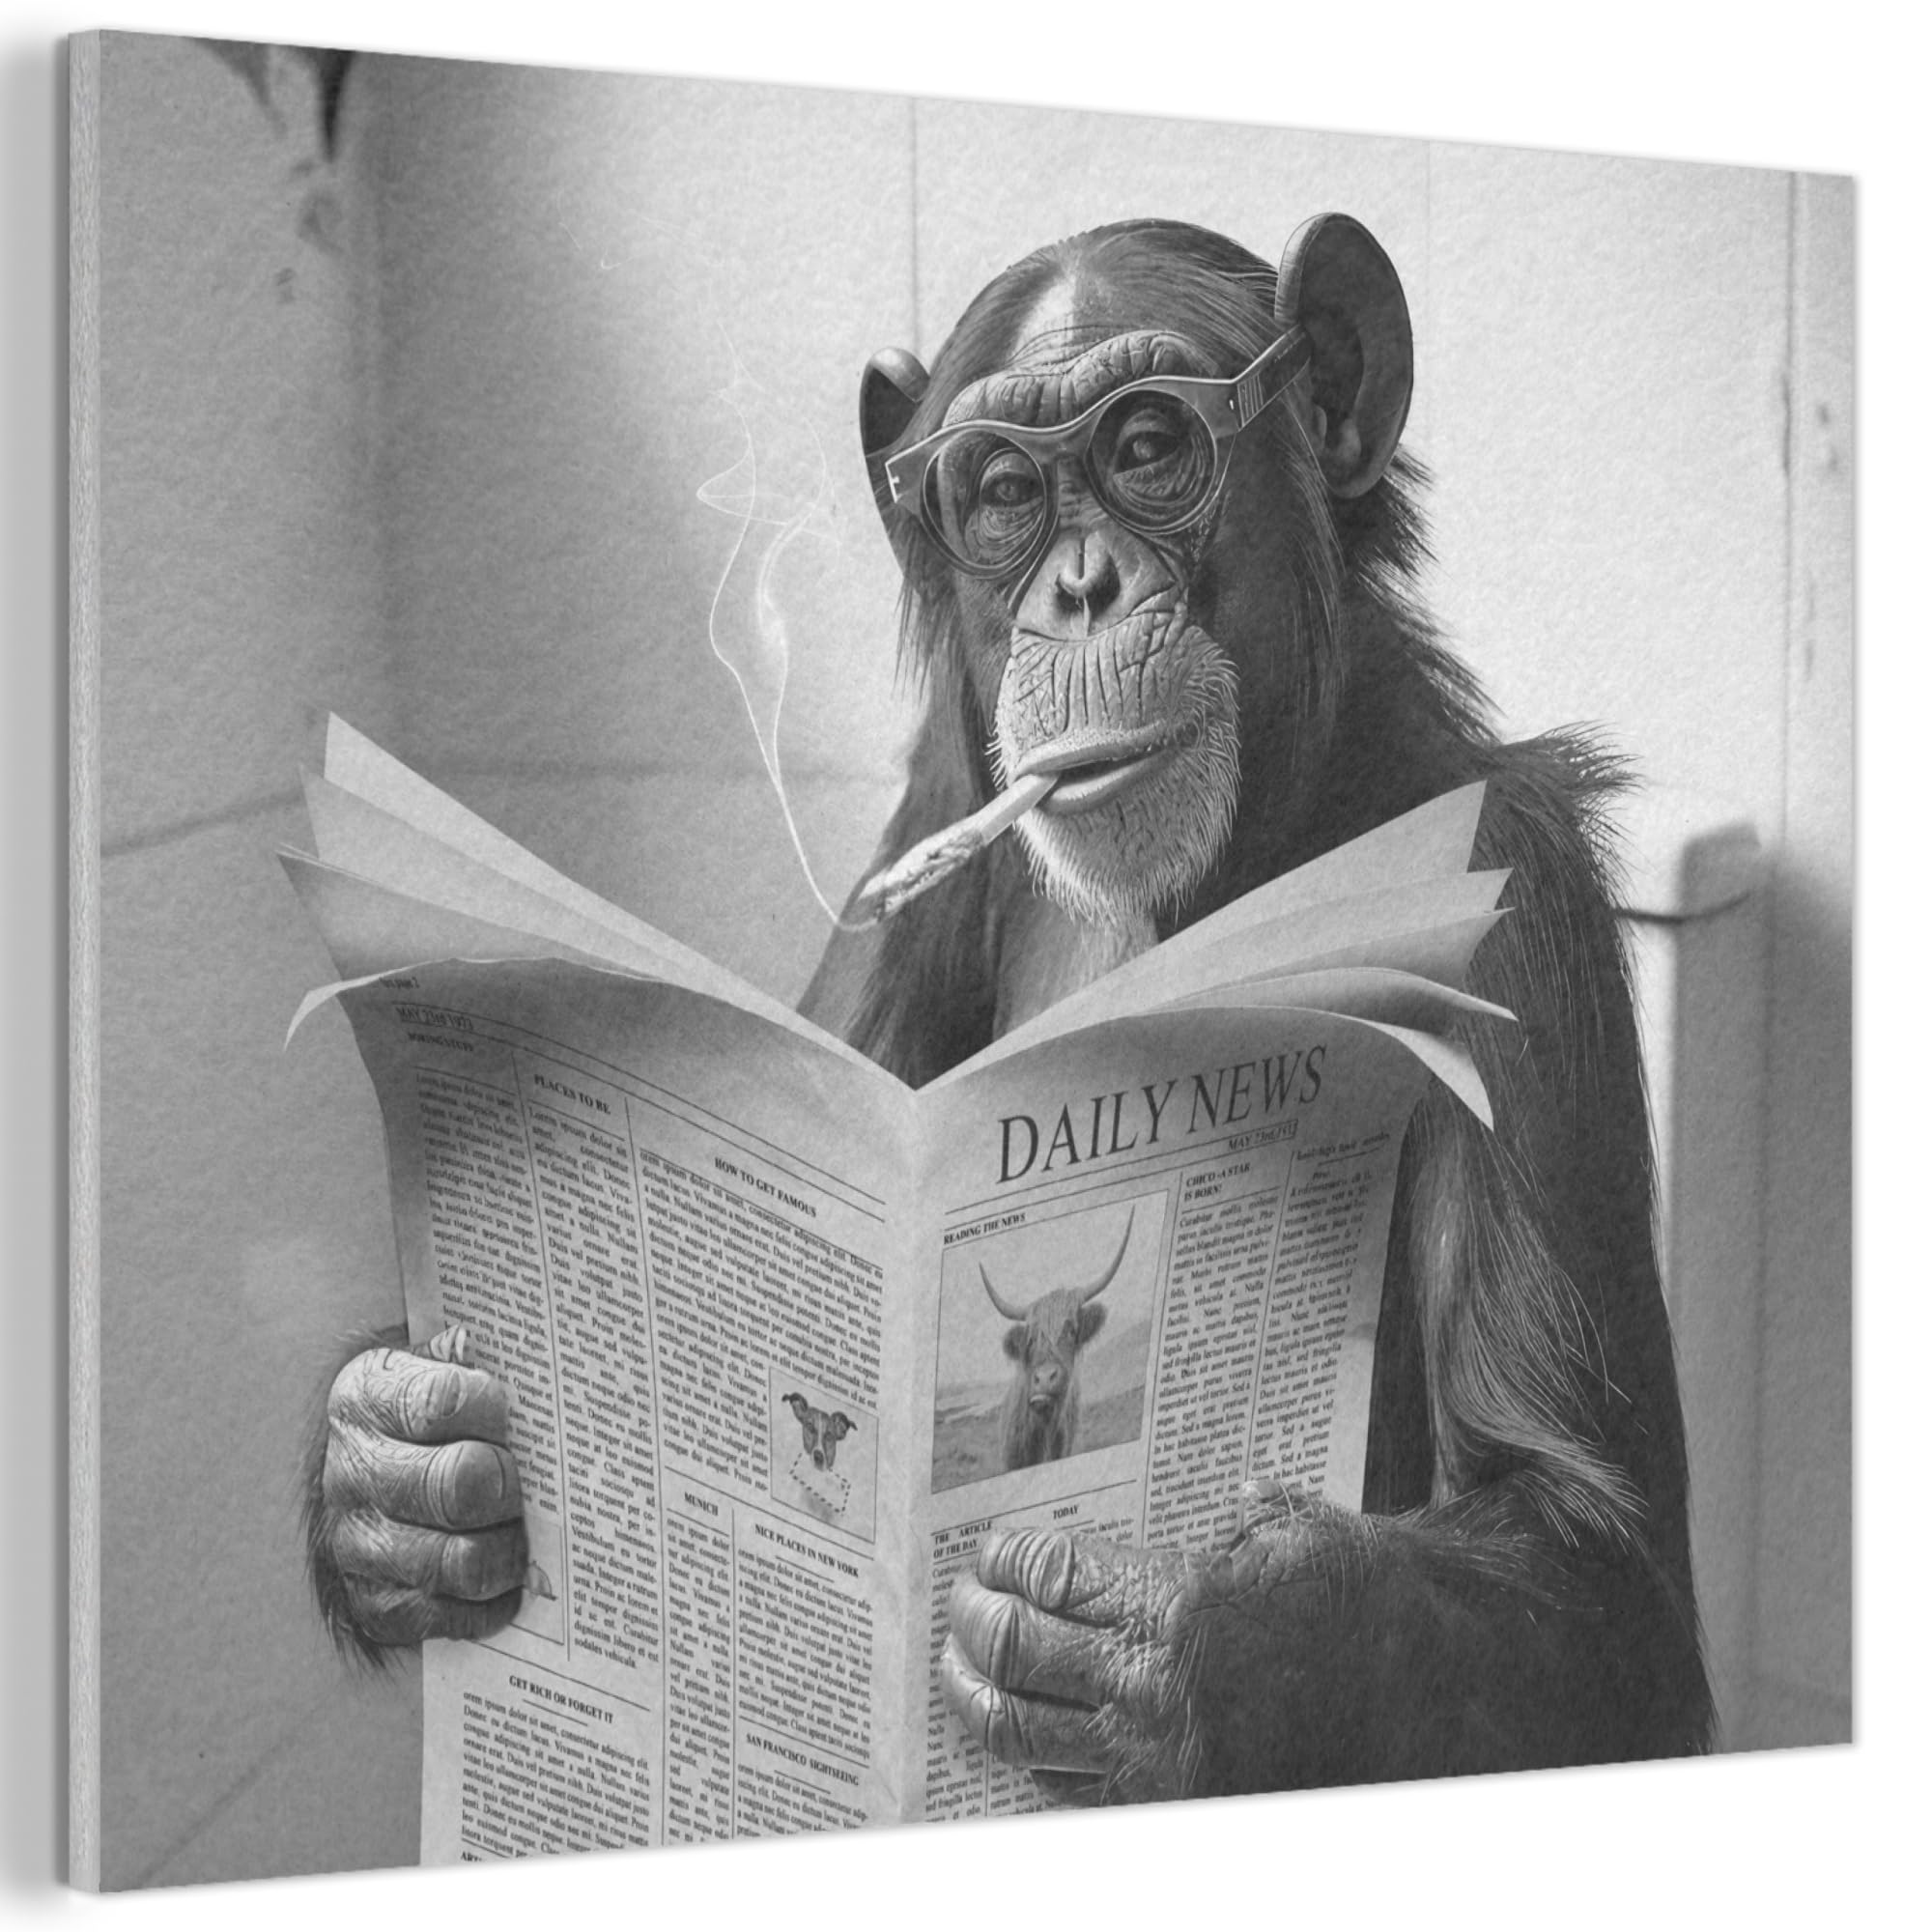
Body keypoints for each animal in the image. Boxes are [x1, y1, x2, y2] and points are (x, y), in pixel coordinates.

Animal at [307, 213, 1713, 1798]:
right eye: (1000, 495)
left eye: (1149, 444)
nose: (1080, 587)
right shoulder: (929, 813)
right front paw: (401, 1467)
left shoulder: (1518, 902)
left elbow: (1595, 1572)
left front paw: (1165, 1640)